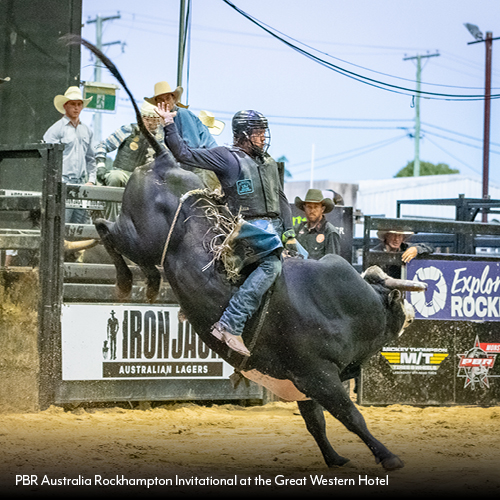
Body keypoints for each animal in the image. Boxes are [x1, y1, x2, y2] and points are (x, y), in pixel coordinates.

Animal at [71, 37, 426, 470]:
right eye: (399, 303)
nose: (412, 316)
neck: (349, 305)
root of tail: (163, 159)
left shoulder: (300, 385)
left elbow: (316, 422)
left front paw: (336, 459)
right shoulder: (318, 375)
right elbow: (351, 415)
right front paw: (388, 457)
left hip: (145, 241)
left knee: (122, 244)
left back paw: (151, 281)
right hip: (139, 234)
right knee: (106, 231)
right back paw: (128, 281)